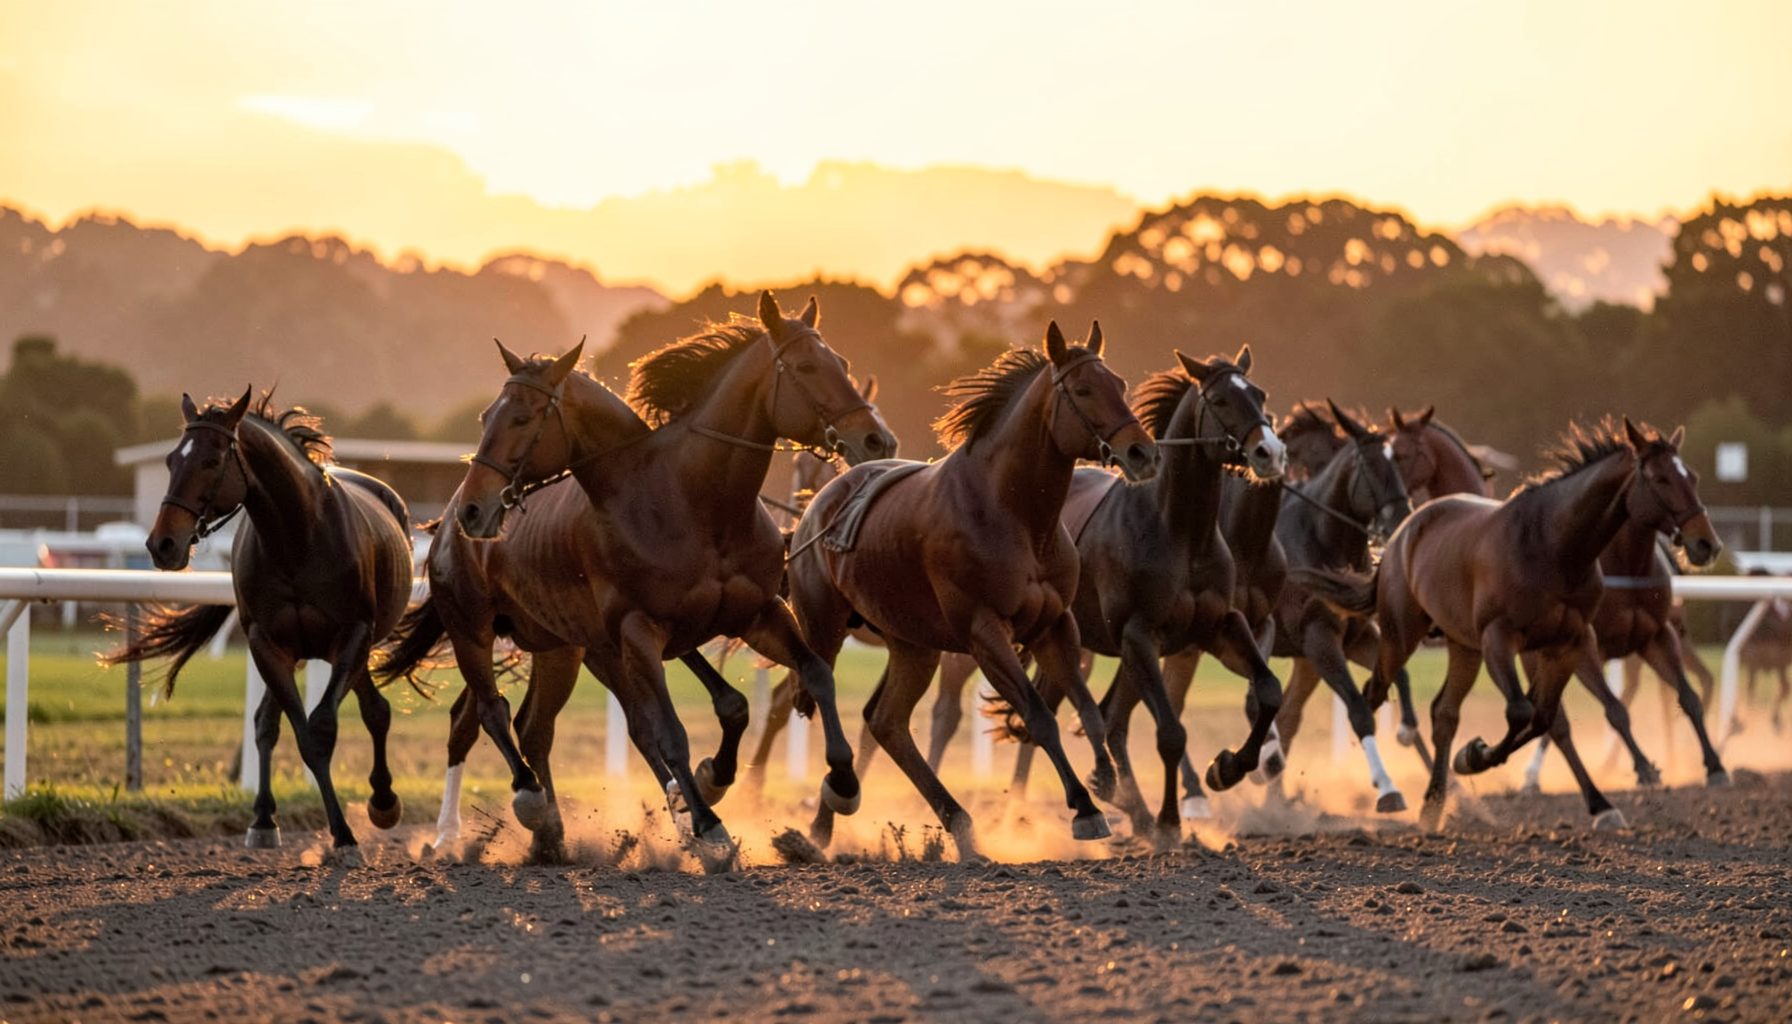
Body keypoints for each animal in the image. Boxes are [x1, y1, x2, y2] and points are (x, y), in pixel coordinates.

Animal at [107, 390, 413, 860]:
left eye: (212, 461)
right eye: (171, 460)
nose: (163, 544)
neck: (298, 538)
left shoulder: (353, 633)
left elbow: (323, 727)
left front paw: (348, 832)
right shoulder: (266, 642)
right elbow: (297, 732)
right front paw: (332, 829)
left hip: (356, 643)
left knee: (374, 710)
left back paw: (382, 800)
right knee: (268, 720)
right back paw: (264, 819)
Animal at [412, 293, 897, 857]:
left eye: (838, 362)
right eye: (804, 368)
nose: (877, 440)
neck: (693, 500)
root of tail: (443, 525)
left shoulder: (757, 613)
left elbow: (802, 680)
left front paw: (839, 783)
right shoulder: (639, 632)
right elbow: (668, 732)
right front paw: (709, 825)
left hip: (558, 647)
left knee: (532, 727)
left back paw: (551, 835)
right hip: (472, 629)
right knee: (490, 712)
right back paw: (521, 806)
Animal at [787, 321, 1159, 857]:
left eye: (1121, 384)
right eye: (1084, 389)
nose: (1141, 452)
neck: (1012, 512)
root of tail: (818, 505)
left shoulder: (1055, 625)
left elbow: (1086, 710)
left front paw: (1105, 782)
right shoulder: (984, 633)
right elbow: (1039, 716)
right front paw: (1085, 810)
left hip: (913, 645)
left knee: (887, 721)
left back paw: (954, 825)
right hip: (824, 625)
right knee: (825, 691)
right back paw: (829, 811)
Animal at [1296, 418, 1720, 831]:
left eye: (1692, 476)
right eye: (1661, 478)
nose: (1706, 543)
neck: (1553, 547)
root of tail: (1401, 534)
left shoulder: (1572, 642)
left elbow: (1546, 716)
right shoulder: (1500, 638)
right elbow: (1524, 711)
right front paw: (1475, 755)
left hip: (1464, 646)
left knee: (1444, 712)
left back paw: (1433, 802)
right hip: (1401, 635)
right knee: (1374, 692)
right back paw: (1385, 787)